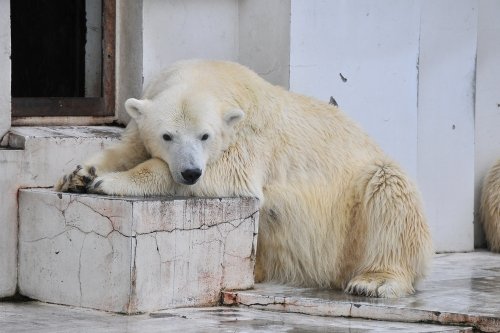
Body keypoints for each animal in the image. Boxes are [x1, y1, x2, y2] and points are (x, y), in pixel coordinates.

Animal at [56, 58, 434, 296]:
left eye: (205, 136)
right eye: (167, 135)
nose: (190, 172)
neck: (211, 76)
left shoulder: (248, 139)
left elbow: (227, 175)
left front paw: (108, 182)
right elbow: (128, 147)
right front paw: (79, 175)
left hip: (359, 202)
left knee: (389, 191)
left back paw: (374, 281)